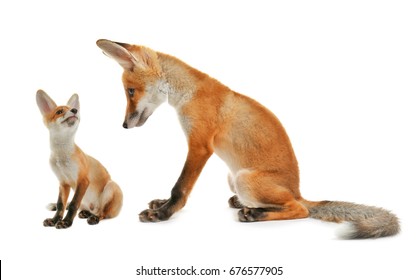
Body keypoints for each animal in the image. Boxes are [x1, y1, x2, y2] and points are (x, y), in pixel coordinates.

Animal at [96, 38, 398, 238]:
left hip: (244, 179)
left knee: (300, 210)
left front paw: (163, 214)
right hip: (233, 178)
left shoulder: (199, 146)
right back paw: (245, 205)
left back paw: (254, 213)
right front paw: (161, 206)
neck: (188, 93)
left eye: (130, 92)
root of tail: (299, 190)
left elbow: (180, 188)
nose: (124, 125)